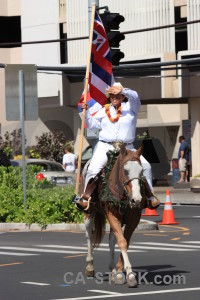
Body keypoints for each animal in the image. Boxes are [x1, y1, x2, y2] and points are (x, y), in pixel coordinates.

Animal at [80, 144, 146, 288]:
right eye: (125, 171)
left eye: (141, 171)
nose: (137, 200)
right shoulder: (112, 215)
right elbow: (122, 241)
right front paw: (130, 274)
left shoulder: (133, 219)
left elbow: (124, 242)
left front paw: (121, 273)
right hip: (89, 213)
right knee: (89, 235)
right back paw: (90, 267)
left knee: (111, 239)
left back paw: (113, 270)